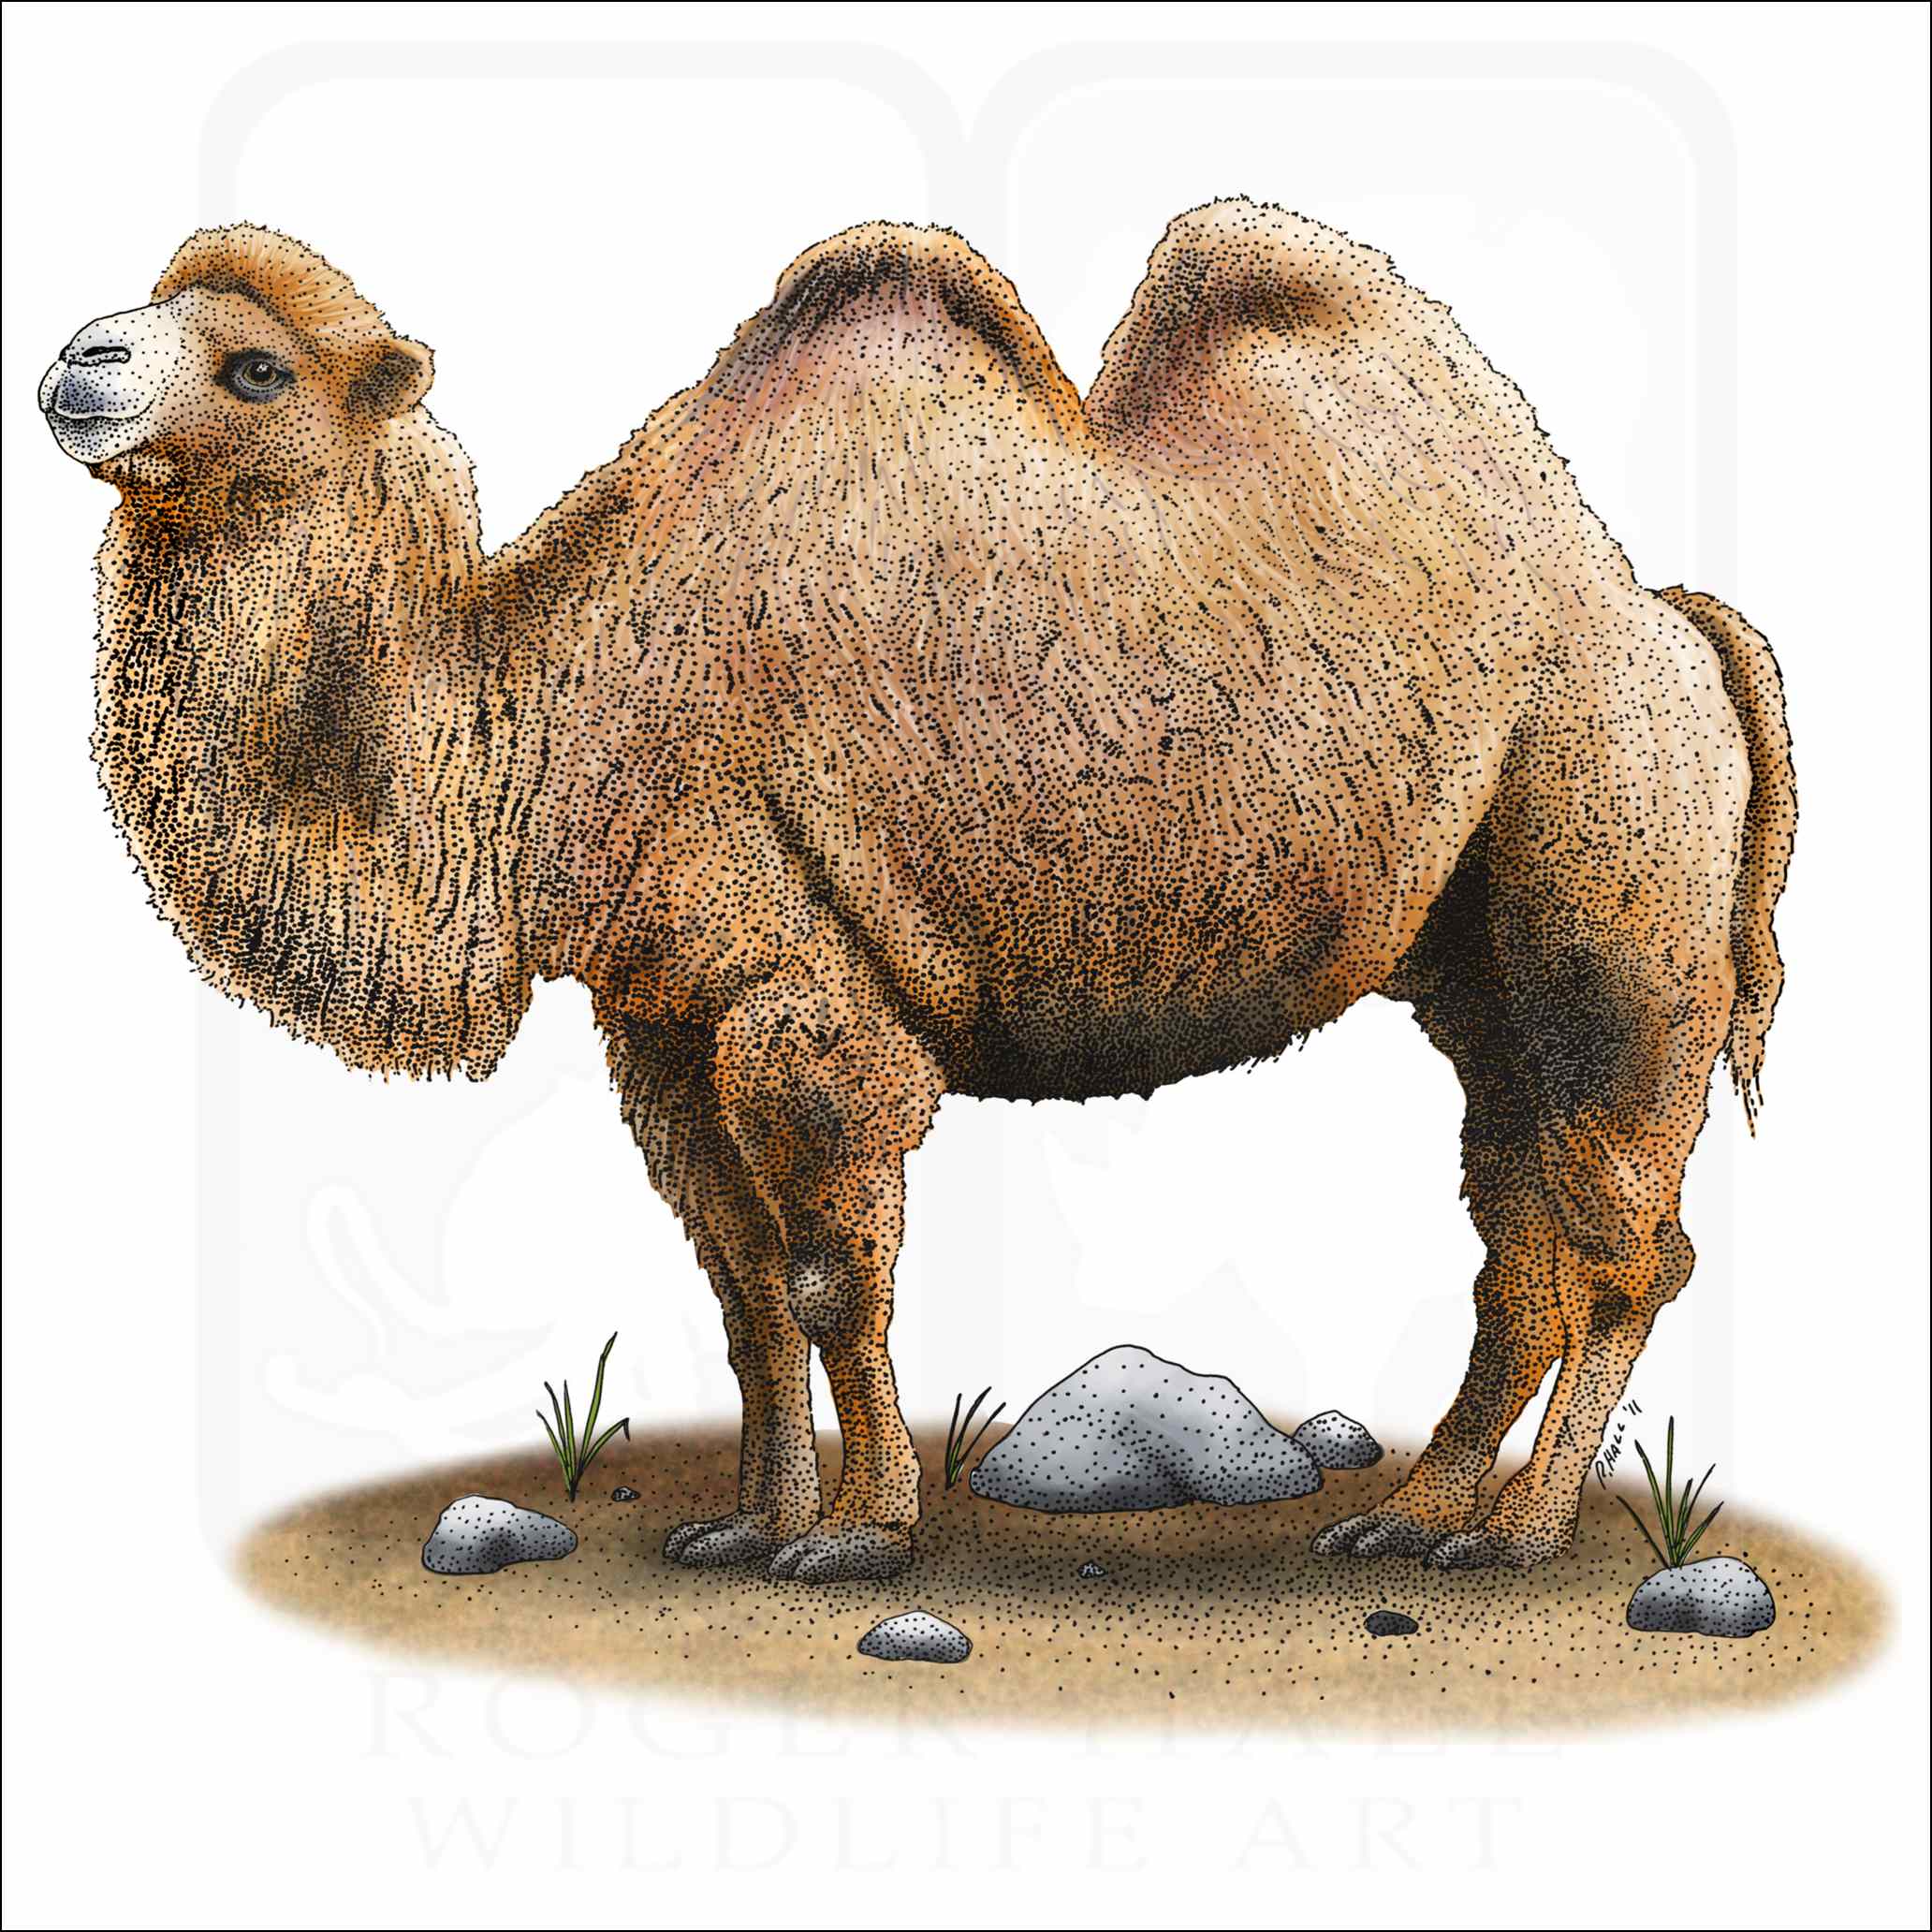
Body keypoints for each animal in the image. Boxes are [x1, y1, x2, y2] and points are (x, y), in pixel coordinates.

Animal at [43, 202, 1794, 1583]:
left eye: (256, 368)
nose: (74, 365)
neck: (556, 711)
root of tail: (1669, 624)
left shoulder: (800, 999)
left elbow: (831, 1276)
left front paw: (857, 1535)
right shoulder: (658, 1016)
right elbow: (743, 1290)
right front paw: (741, 1526)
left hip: (1612, 883)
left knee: (1624, 1232)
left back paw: (1518, 1537)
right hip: (1475, 954)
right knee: (1522, 1228)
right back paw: (1409, 1516)